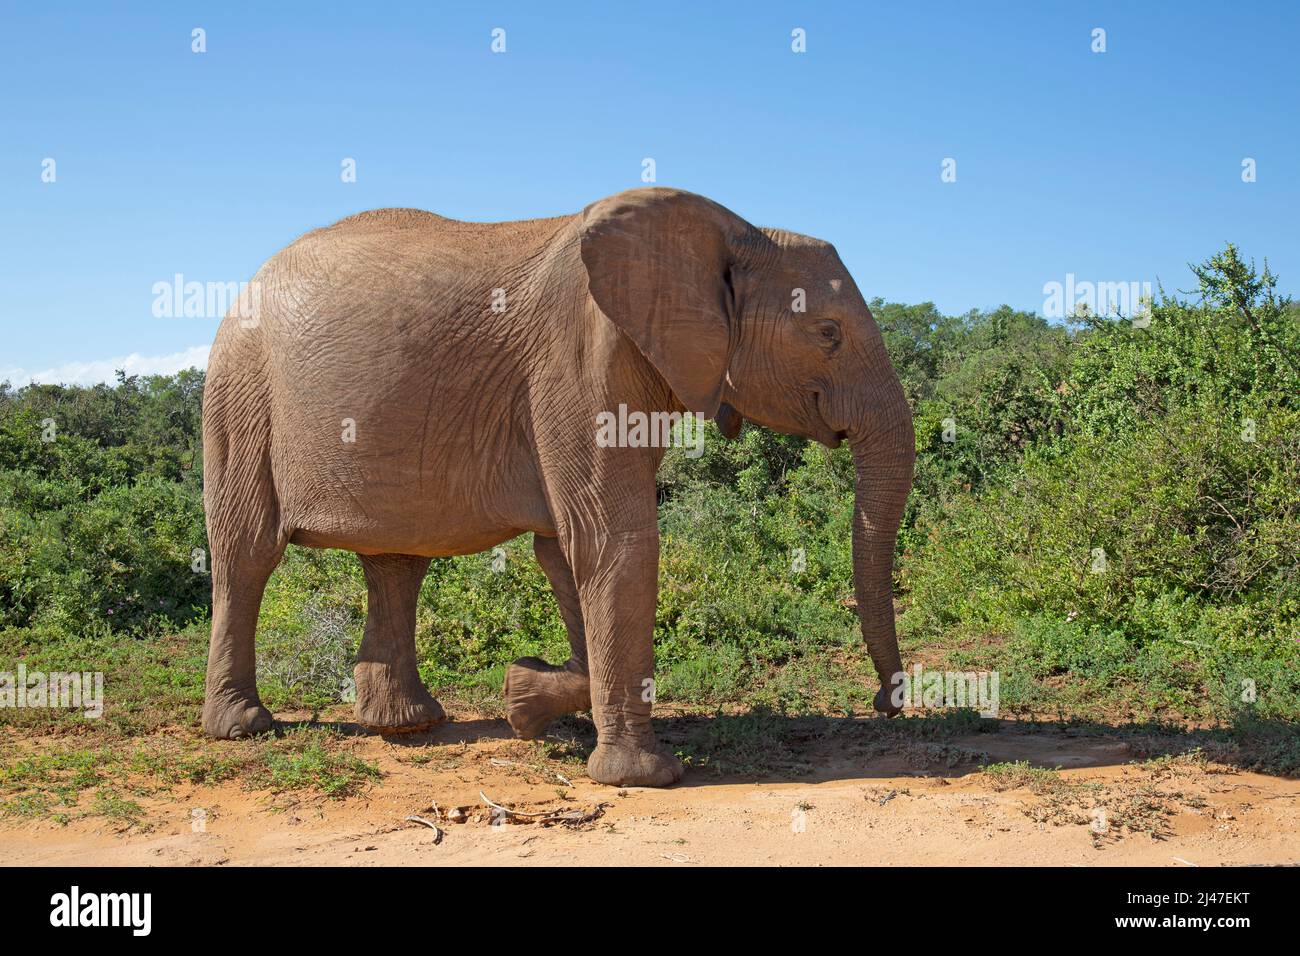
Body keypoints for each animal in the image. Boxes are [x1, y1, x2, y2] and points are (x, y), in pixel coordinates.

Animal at [202, 184, 915, 785]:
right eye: (827, 334)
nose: (889, 703)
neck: (732, 230)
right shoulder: (578, 360)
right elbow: (613, 540)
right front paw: (642, 777)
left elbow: (565, 549)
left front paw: (525, 697)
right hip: (240, 394)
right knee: (246, 553)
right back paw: (244, 729)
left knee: (398, 561)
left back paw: (410, 725)